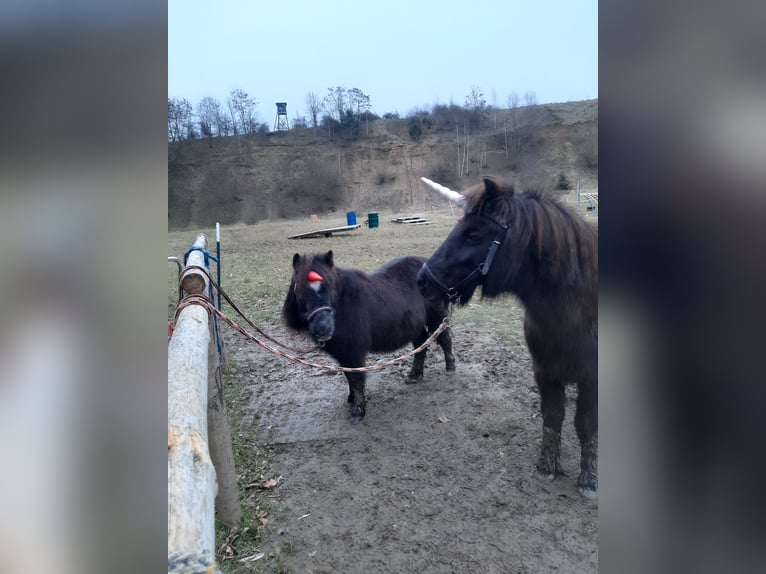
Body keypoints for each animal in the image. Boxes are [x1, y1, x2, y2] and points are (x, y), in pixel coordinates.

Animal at [284, 252, 456, 424]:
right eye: (300, 290)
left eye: (331, 286)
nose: (324, 328)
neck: (343, 307)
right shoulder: (343, 353)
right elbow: (348, 375)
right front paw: (351, 398)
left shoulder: (353, 352)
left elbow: (356, 379)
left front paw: (358, 410)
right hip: (415, 326)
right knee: (421, 345)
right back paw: (415, 376)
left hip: (436, 317)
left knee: (444, 339)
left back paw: (450, 368)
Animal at [420, 177, 600, 500]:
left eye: (473, 233)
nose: (421, 280)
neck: (576, 306)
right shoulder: (544, 371)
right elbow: (552, 416)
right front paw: (547, 467)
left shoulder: (591, 376)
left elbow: (586, 424)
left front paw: (589, 480)